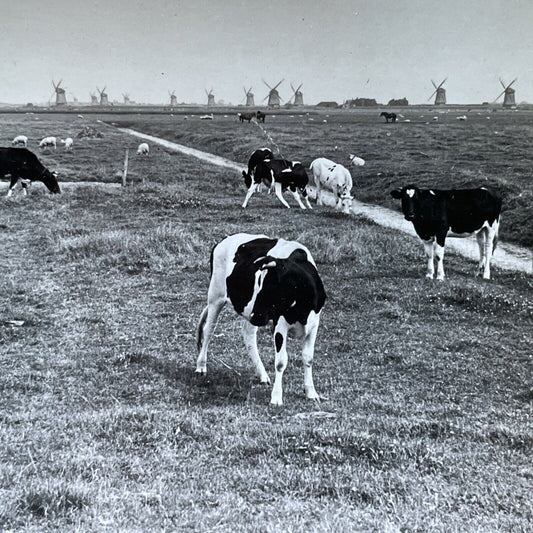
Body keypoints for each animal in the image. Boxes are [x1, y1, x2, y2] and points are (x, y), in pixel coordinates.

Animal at [195, 232, 326, 404]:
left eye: (272, 287)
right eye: (259, 284)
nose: (255, 316)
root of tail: (223, 241)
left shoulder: (314, 324)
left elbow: (308, 358)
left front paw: (311, 392)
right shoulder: (280, 324)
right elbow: (281, 362)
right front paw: (276, 397)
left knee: (248, 335)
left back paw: (262, 374)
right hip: (216, 297)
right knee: (209, 330)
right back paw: (201, 366)